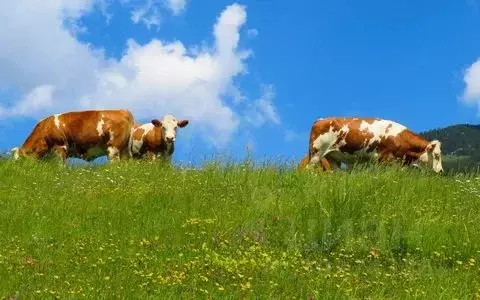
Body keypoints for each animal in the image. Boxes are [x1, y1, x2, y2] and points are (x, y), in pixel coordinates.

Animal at [306, 117, 444, 173]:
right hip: (316, 153)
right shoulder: (385, 159)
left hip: (332, 158)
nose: (441, 171)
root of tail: (319, 120)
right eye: (437, 155)